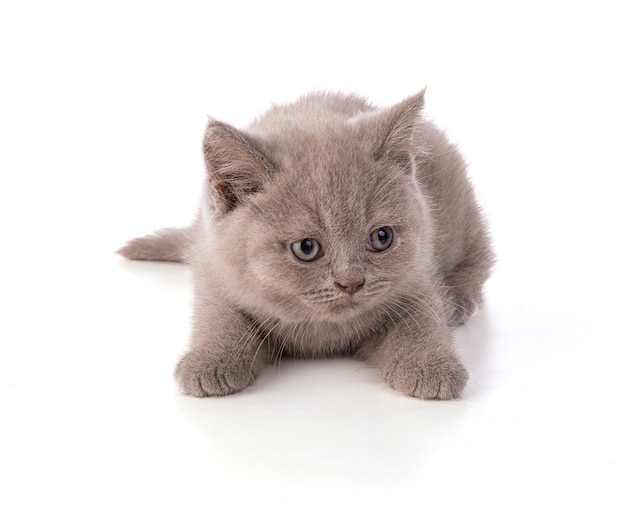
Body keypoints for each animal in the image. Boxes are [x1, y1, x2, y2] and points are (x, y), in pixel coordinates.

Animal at [119, 90, 492, 400]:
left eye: (381, 238)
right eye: (306, 248)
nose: (351, 282)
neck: (323, 331)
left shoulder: (418, 279)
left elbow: (422, 321)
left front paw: (432, 367)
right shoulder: (212, 269)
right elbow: (219, 317)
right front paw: (208, 362)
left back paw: (460, 300)